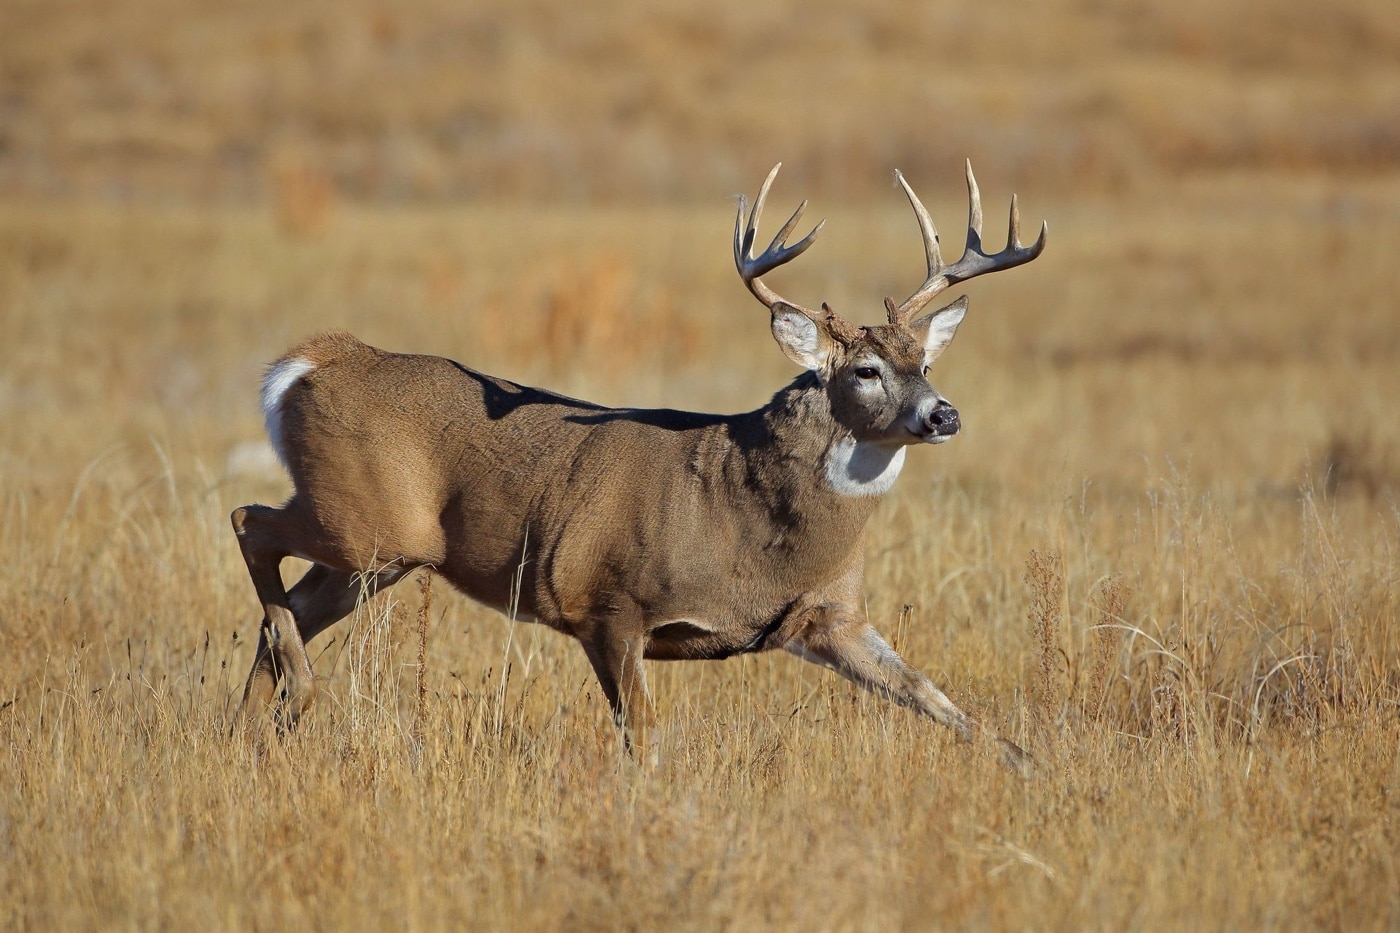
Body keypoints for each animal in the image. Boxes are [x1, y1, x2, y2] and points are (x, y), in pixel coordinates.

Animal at [229, 161, 1047, 756]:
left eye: (925, 363)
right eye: (867, 370)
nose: (943, 413)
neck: (745, 522)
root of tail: (313, 362)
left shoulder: (831, 618)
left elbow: (943, 703)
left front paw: (1032, 770)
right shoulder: (606, 601)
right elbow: (643, 739)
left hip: (377, 555)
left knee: (287, 607)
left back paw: (254, 730)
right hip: (369, 523)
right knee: (249, 520)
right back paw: (297, 696)